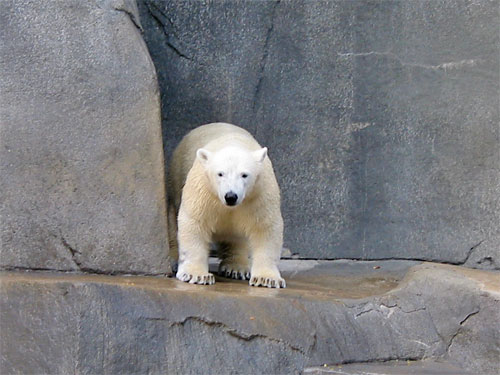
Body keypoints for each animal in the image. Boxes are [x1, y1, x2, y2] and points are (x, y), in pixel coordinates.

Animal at [168, 122, 286, 288]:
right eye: (220, 173)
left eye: (244, 175)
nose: (231, 196)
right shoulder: (203, 190)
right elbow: (195, 222)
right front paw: (196, 275)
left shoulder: (259, 193)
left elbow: (265, 227)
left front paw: (267, 279)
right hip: (176, 176)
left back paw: (236, 268)